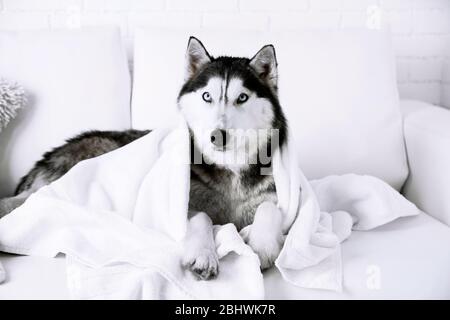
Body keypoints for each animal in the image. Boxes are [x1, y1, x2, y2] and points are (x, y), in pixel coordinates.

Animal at [0, 38, 288, 280]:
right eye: (207, 96)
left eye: (242, 98)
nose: (217, 136)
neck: (230, 170)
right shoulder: (179, 205)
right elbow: (202, 218)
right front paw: (203, 255)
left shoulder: (274, 197)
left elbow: (270, 209)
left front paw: (262, 246)